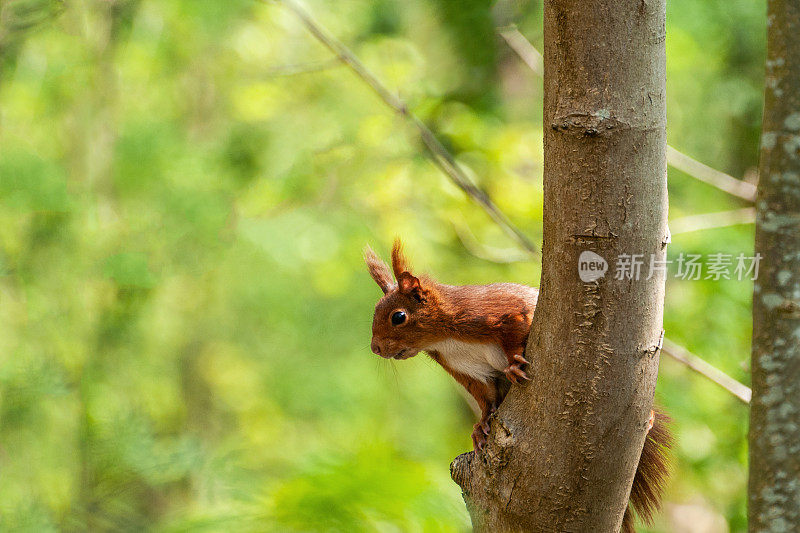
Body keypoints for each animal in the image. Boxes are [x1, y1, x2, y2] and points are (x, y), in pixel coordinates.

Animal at [366, 240, 672, 532]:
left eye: (398, 317)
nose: (375, 348)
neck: (444, 339)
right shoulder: (465, 370)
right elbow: (485, 397)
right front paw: (480, 426)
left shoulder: (493, 312)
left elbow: (515, 329)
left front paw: (513, 364)